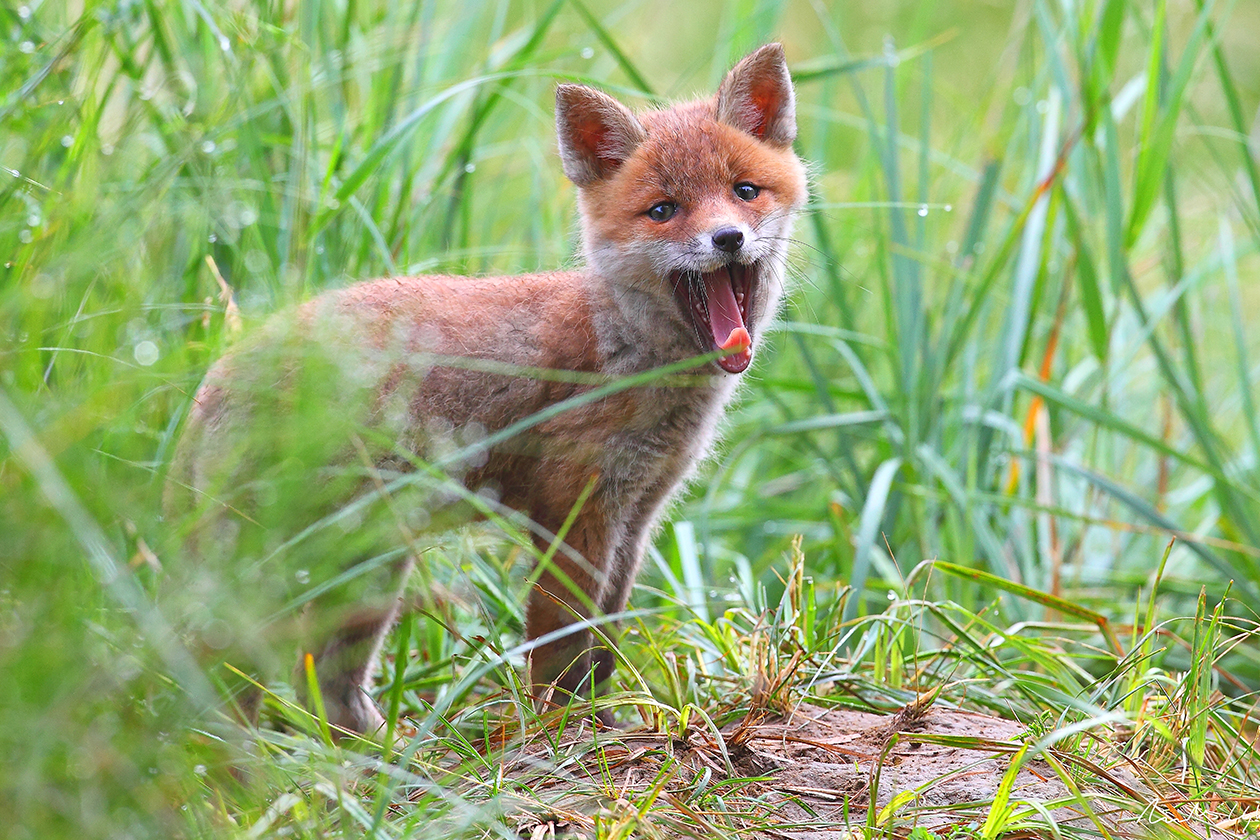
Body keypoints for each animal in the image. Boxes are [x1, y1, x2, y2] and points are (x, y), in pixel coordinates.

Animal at [165, 43, 808, 736]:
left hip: (366, 571)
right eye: (664, 210)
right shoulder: (572, 511)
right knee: (225, 669)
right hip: (287, 567)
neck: (623, 354)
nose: (727, 238)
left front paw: (598, 719)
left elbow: (605, 645)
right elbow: (560, 645)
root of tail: (216, 374)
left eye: (744, 192)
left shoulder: (635, 515)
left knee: (320, 684)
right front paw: (560, 728)